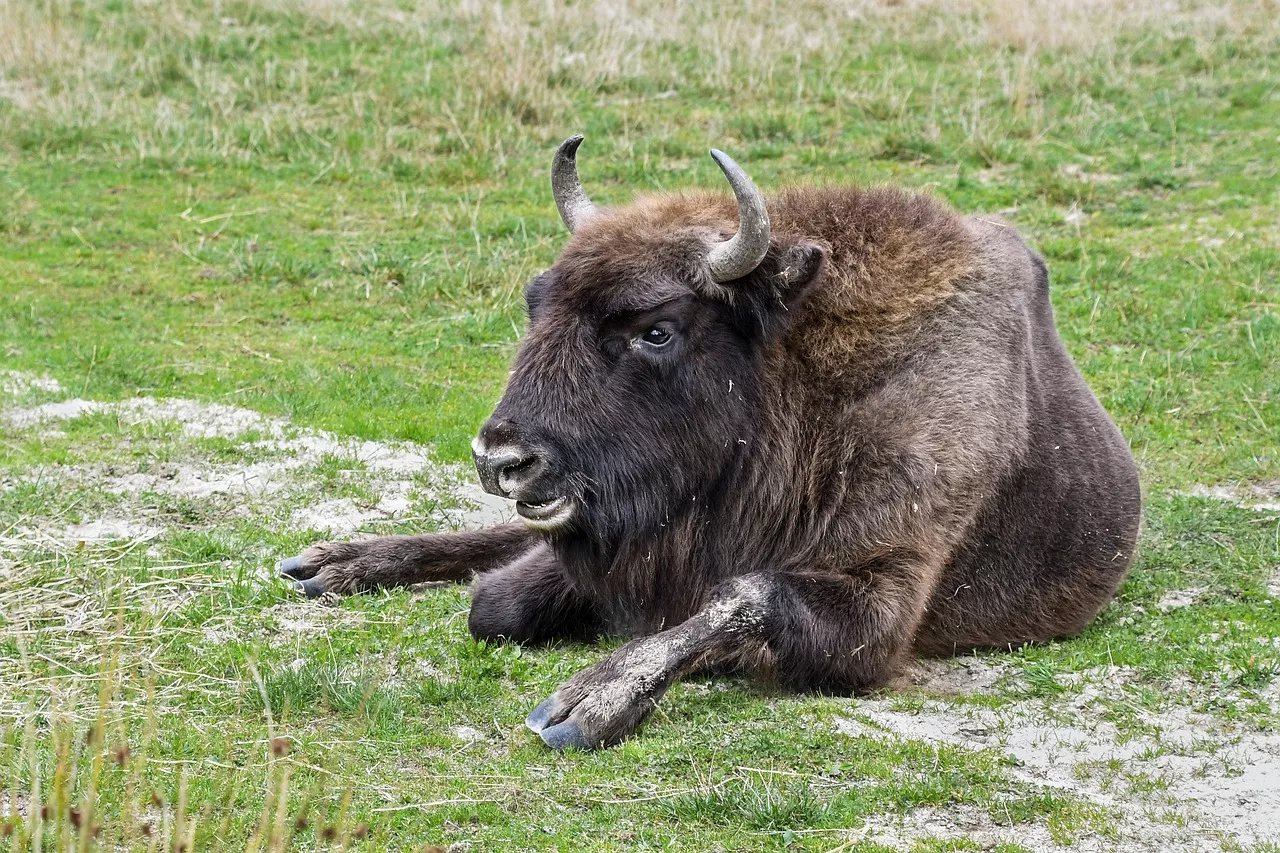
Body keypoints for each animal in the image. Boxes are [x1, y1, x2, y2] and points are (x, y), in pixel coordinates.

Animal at [277, 136, 1141, 747]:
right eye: (535, 301)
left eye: (656, 329)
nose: (503, 459)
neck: (801, 378)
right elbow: (497, 602)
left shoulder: (882, 595)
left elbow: (738, 597)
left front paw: (589, 701)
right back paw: (330, 562)